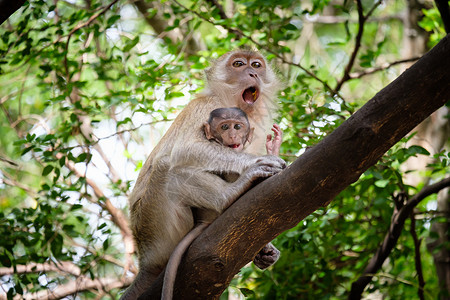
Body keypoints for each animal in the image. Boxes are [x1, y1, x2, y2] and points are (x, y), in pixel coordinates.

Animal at [162, 106, 282, 298]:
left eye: (237, 126)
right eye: (224, 127)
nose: (232, 135)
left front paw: (273, 148)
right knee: (176, 174)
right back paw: (232, 193)